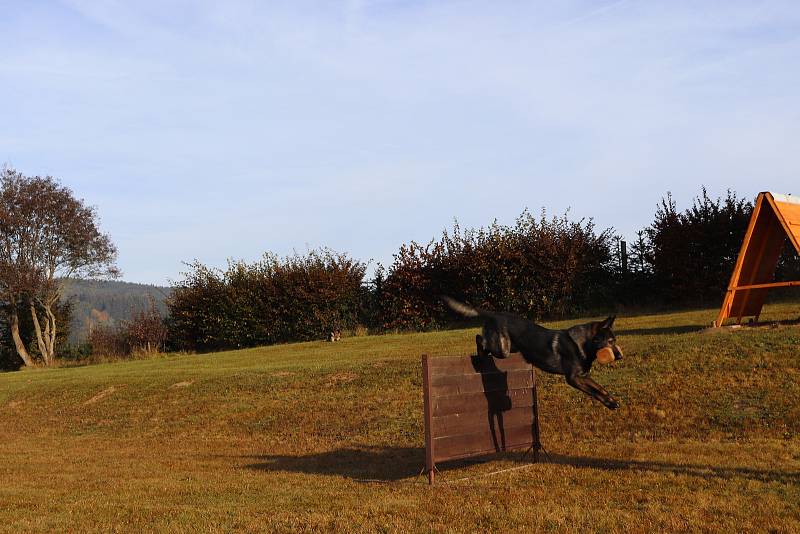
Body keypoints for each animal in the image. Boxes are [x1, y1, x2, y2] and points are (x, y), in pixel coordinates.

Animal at [444, 298, 624, 410]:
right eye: (610, 341)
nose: (620, 356)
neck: (583, 343)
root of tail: (494, 313)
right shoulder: (573, 378)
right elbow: (594, 391)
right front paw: (609, 403)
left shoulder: (583, 376)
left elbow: (600, 387)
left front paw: (612, 400)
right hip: (502, 350)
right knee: (480, 339)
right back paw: (480, 355)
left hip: (512, 348)